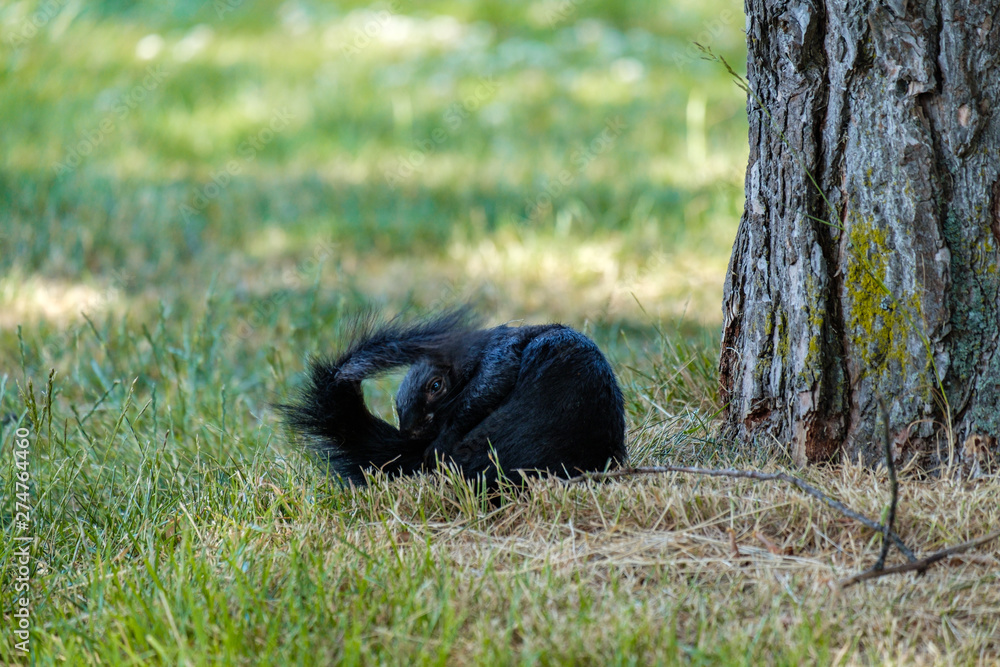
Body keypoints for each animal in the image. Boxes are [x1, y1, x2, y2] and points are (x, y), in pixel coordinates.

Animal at [280, 310, 624, 488]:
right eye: (397, 406)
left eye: (436, 386)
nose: (411, 431)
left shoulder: (499, 357)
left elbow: (487, 386)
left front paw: (443, 435)